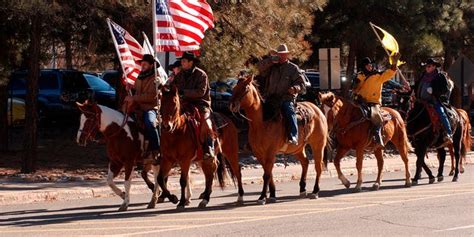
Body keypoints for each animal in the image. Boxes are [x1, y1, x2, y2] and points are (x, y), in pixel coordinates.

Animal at [229, 75, 326, 205]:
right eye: (234, 88)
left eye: (245, 88)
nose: (232, 105)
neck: (262, 123)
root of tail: (317, 109)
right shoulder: (259, 153)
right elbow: (268, 172)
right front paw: (272, 195)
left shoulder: (270, 152)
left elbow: (266, 174)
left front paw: (262, 197)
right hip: (297, 148)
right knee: (305, 162)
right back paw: (302, 189)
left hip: (318, 145)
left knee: (318, 166)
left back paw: (315, 191)